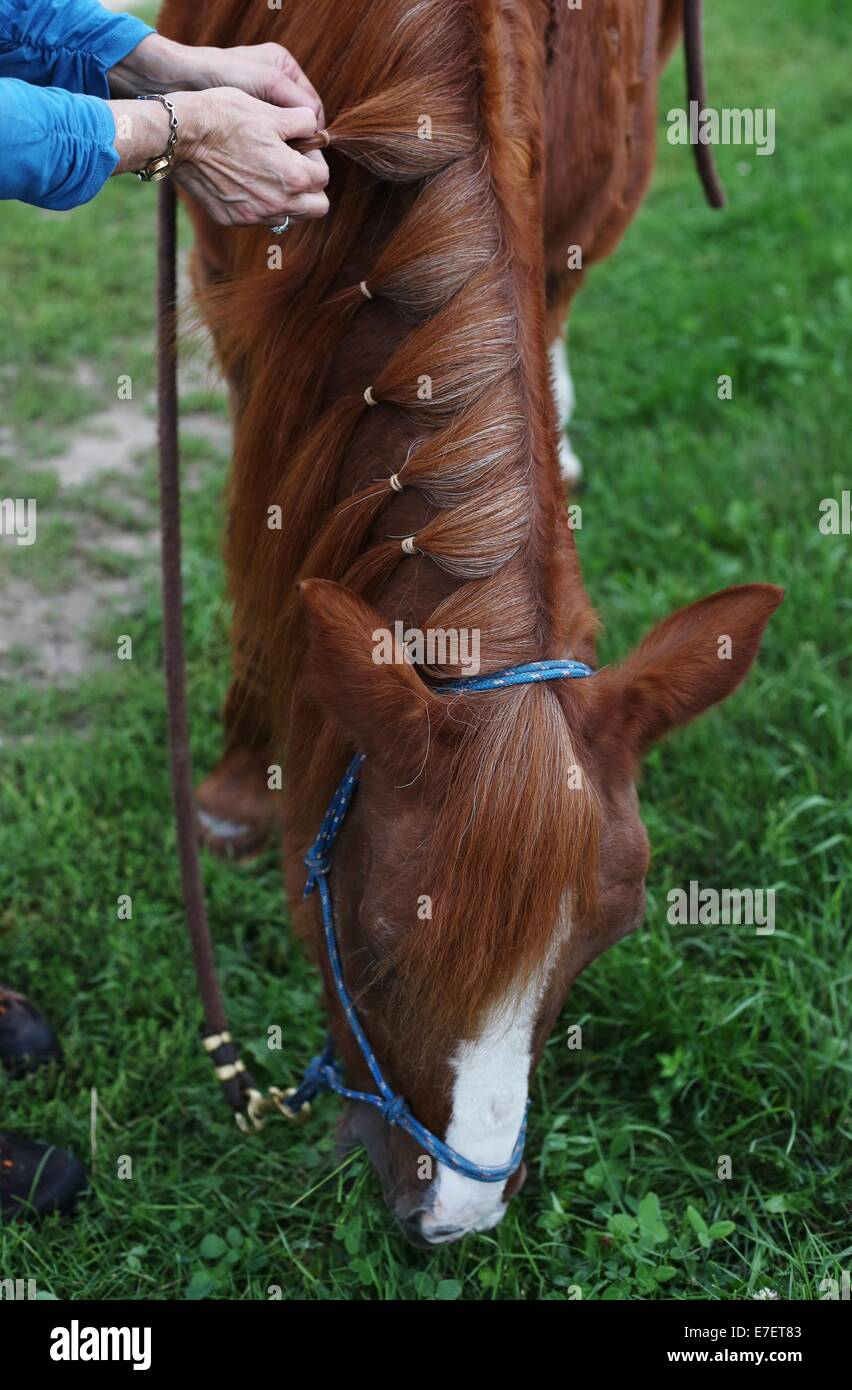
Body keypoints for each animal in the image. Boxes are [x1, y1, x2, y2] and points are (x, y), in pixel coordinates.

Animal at [158, 0, 782, 1245]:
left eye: (597, 948)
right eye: (376, 939)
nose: (458, 1216)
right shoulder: (233, 257)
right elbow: (268, 521)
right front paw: (237, 783)